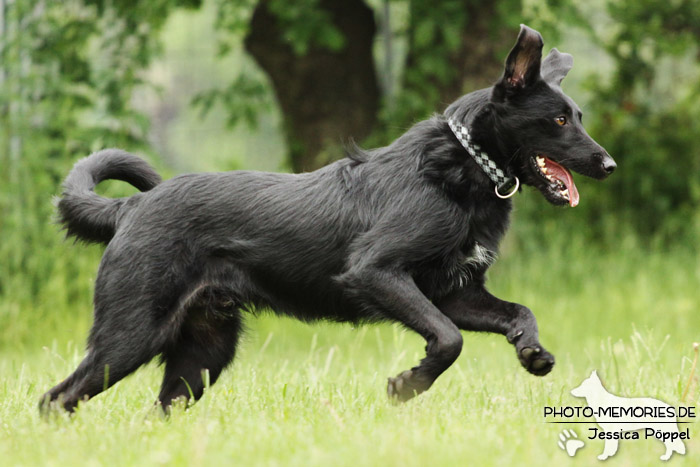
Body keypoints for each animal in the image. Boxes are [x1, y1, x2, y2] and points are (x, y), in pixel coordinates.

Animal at [42, 25, 612, 414]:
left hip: (201, 353)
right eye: (559, 119)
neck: (460, 166)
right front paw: (407, 386)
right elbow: (449, 340)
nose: (609, 165)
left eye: (578, 117)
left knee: (159, 407)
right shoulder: (376, 273)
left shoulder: (453, 292)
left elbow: (517, 313)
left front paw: (532, 353)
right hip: (131, 333)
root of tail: (130, 208)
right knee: (58, 397)